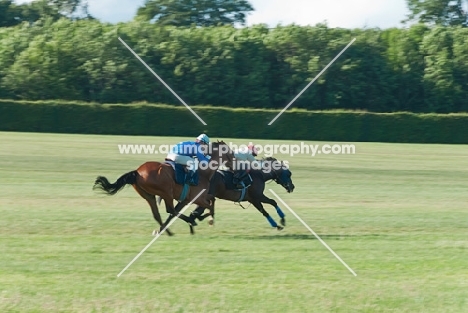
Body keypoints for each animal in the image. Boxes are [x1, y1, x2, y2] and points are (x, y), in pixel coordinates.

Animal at [93, 141, 234, 234]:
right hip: (166, 192)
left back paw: (168, 231)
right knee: (170, 210)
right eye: (231, 154)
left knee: (158, 213)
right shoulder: (196, 198)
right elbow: (210, 206)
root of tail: (137, 172)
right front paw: (198, 218)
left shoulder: (189, 199)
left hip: (148, 195)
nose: (234, 168)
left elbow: (211, 201)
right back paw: (187, 222)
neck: (204, 173)